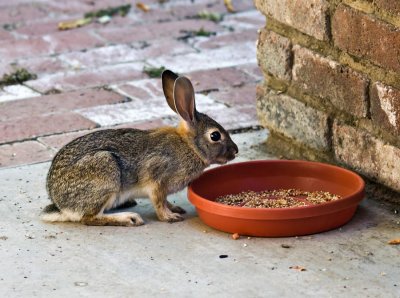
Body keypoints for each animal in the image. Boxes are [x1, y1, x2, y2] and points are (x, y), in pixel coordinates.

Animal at [42, 69, 239, 226]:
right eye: (215, 136)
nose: (235, 151)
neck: (189, 146)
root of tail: (61, 205)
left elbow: (165, 200)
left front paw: (175, 208)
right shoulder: (157, 178)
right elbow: (159, 202)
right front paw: (169, 217)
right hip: (106, 172)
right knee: (89, 218)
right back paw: (129, 218)